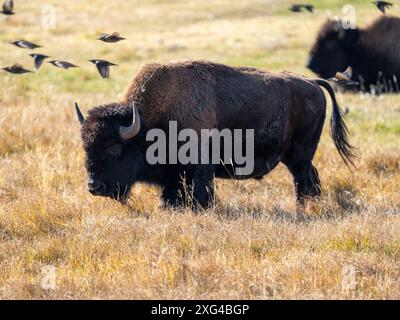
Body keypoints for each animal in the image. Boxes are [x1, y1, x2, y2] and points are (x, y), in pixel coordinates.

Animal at [75, 61, 354, 209]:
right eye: (86, 147)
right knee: (309, 178)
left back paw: (304, 207)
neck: (146, 123)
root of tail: (313, 83)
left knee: (304, 178)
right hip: (297, 157)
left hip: (299, 155)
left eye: (113, 148)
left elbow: (200, 190)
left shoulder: (199, 168)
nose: (94, 187)